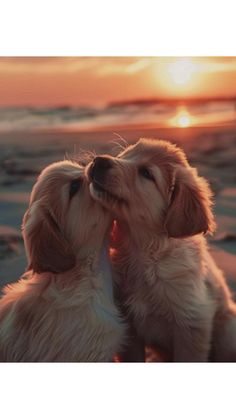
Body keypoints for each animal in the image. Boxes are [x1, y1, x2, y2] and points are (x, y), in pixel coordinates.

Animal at [87, 139, 236, 362]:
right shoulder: (129, 327)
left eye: (146, 173)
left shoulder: (193, 323)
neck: (144, 251)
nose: (99, 161)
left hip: (227, 334)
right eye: (123, 155)